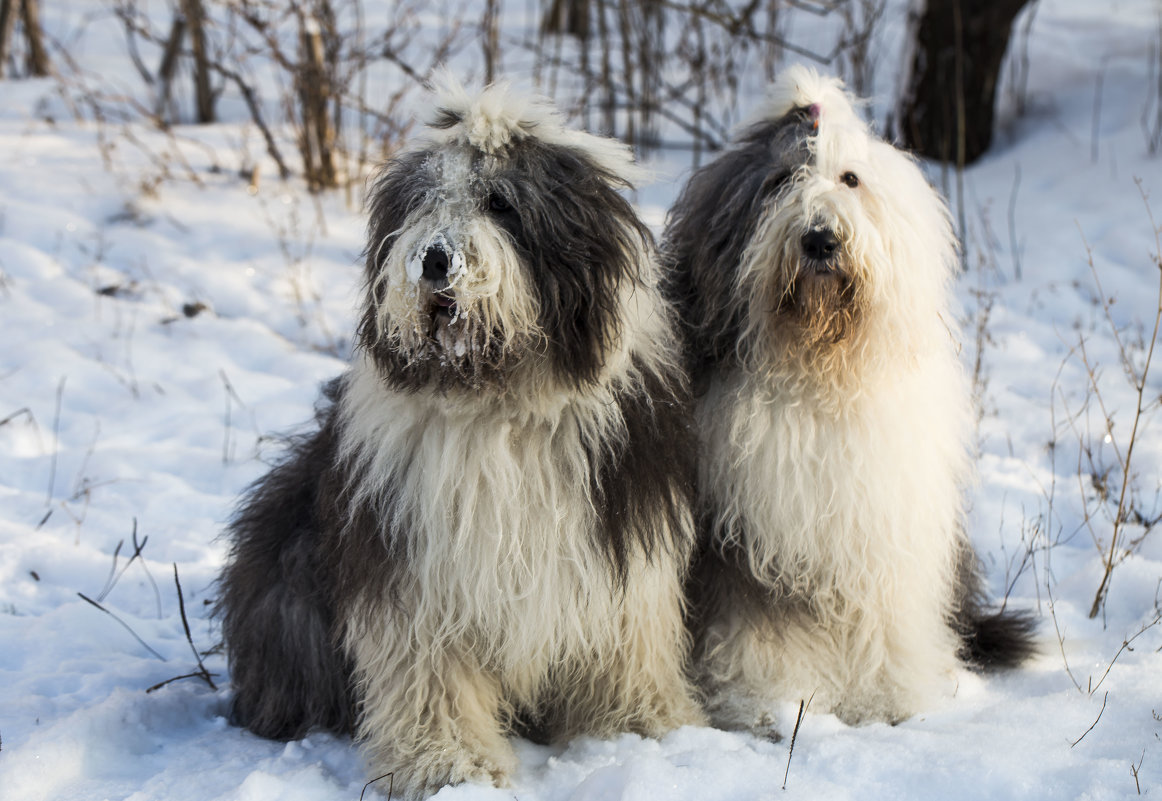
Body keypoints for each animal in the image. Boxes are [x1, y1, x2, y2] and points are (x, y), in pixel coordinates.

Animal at [219, 79, 706, 795]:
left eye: (500, 203)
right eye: (423, 201)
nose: (435, 260)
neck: (498, 404)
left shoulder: (617, 551)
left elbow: (626, 641)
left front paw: (635, 728)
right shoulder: (415, 568)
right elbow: (431, 668)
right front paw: (449, 763)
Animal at [664, 67, 1036, 730]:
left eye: (850, 180)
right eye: (780, 181)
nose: (819, 239)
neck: (820, 378)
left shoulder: (883, 528)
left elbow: (886, 620)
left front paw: (892, 699)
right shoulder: (746, 537)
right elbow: (757, 624)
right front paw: (775, 700)